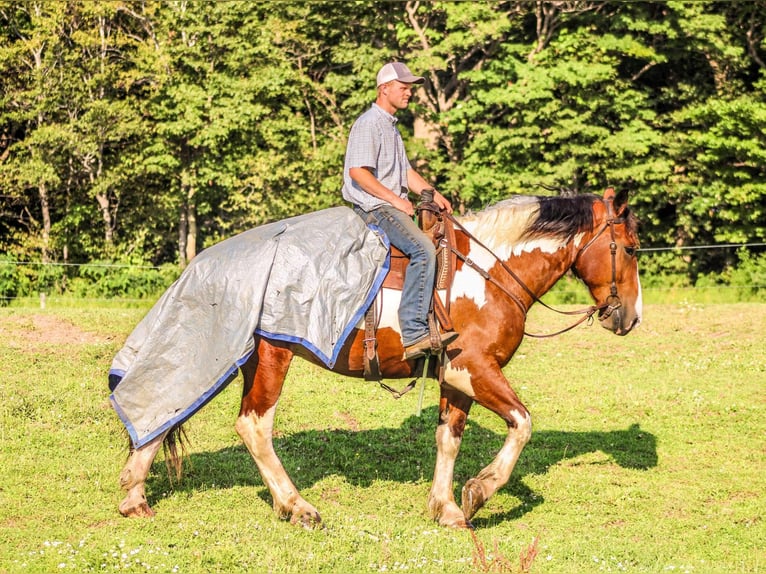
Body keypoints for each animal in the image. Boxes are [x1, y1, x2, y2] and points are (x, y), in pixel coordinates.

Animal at [117, 188, 640, 532]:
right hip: (270, 357)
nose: (631, 317)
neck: (490, 273)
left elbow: (448, 439)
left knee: (166, 405)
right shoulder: (475, 368)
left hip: (235, 357)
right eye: (631, 248)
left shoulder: (454, 377)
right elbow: (523, 423)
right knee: (253, 425)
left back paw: (135, 495)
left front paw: (447, 506)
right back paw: (297, 505)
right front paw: (480, 491)